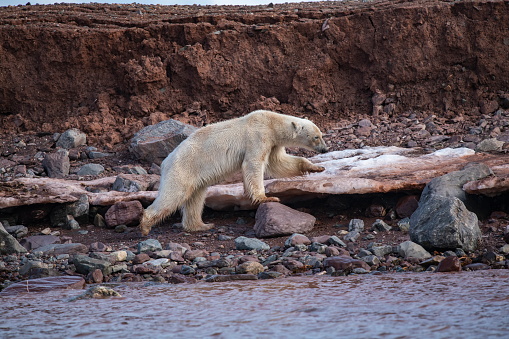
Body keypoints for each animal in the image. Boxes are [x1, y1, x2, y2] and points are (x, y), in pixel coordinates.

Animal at [139, 110, 328, 235]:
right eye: (316, 137)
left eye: (321, 134)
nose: (325, 149)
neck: (271, 123)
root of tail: (165, 161)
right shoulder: (258, 136)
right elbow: (253, 164)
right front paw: (266, 198)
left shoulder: (273, 143)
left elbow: (278, 164)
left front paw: (316, 167)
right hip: (183, 169)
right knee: (174, 195)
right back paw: (146, 225)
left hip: (194, 175)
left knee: (196, 197)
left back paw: (201, 225)